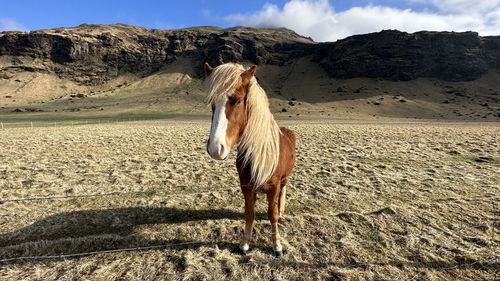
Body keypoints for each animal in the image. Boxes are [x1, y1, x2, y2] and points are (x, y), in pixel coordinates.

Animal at [204, 61, 296, 256]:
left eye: (238, 100)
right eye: (212, 103)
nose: (216, 149)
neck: (260, 152)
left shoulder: (274, 187)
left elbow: (272, 214)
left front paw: (277, 245)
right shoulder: (246, 187)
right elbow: (249, 213)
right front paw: (245, 243)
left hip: (284, 179)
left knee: (282, 195)